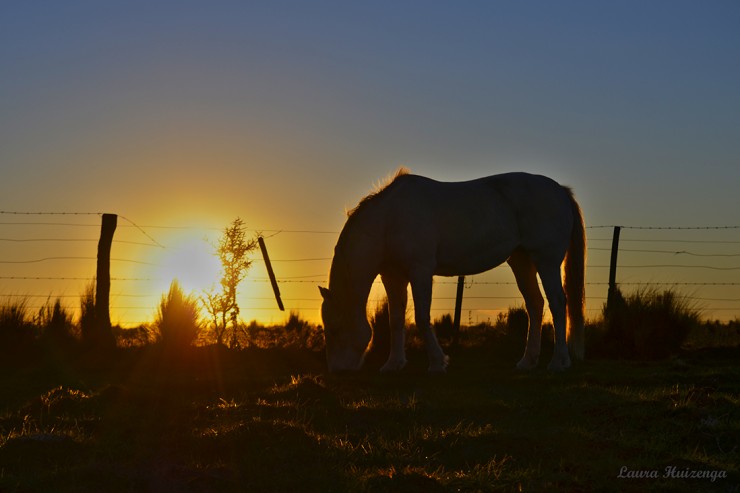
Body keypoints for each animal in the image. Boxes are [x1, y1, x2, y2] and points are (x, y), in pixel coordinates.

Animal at [318, 171, 584, 370]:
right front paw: (393, 364)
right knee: (535, 304)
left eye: (335, 329)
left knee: (558, 303)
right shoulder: (393, 276)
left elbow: (422, 318)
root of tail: (560, 190)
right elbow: (395, 320)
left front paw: (438, 363)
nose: (338, 370)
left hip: (546, 261)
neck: (388, 219)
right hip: (522, 261)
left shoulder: (420, 271)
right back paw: (527, 362)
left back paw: (559, 362)